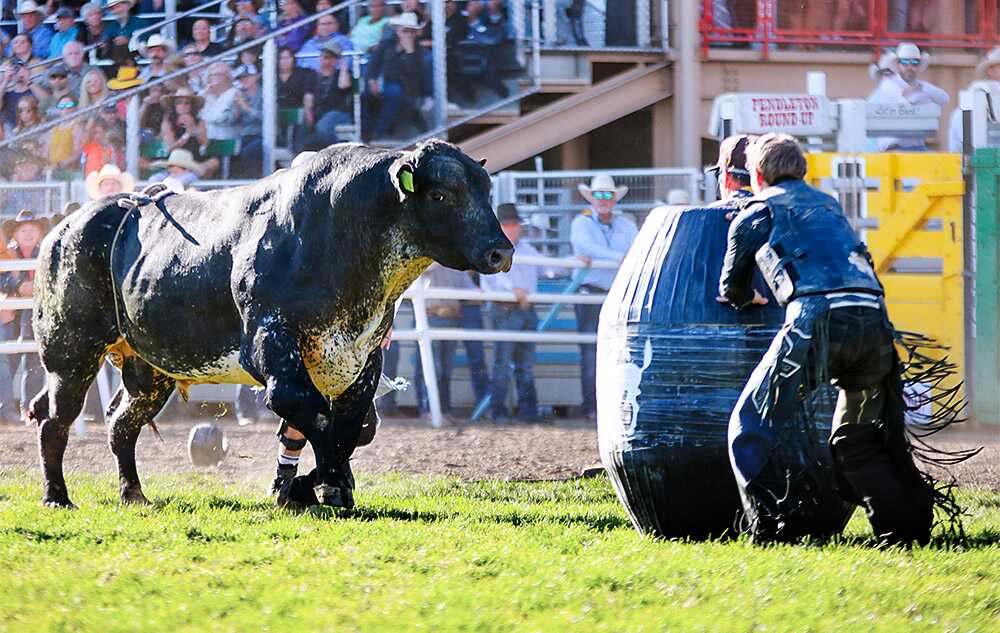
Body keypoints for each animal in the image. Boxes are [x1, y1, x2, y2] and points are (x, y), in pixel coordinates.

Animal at [30, 140, 513, 509]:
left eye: (485, 192)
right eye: (441, 195)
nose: (501, 252)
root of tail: (63, 228)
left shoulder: (361, 359)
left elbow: (351, 427)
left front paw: (303, 488)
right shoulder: (270, 345)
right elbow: (311, 414)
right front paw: (327, 487)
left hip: (151, 371)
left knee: (121, 425)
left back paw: (133, 494)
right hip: (70, 352)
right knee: (55, 421)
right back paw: (57, 497)